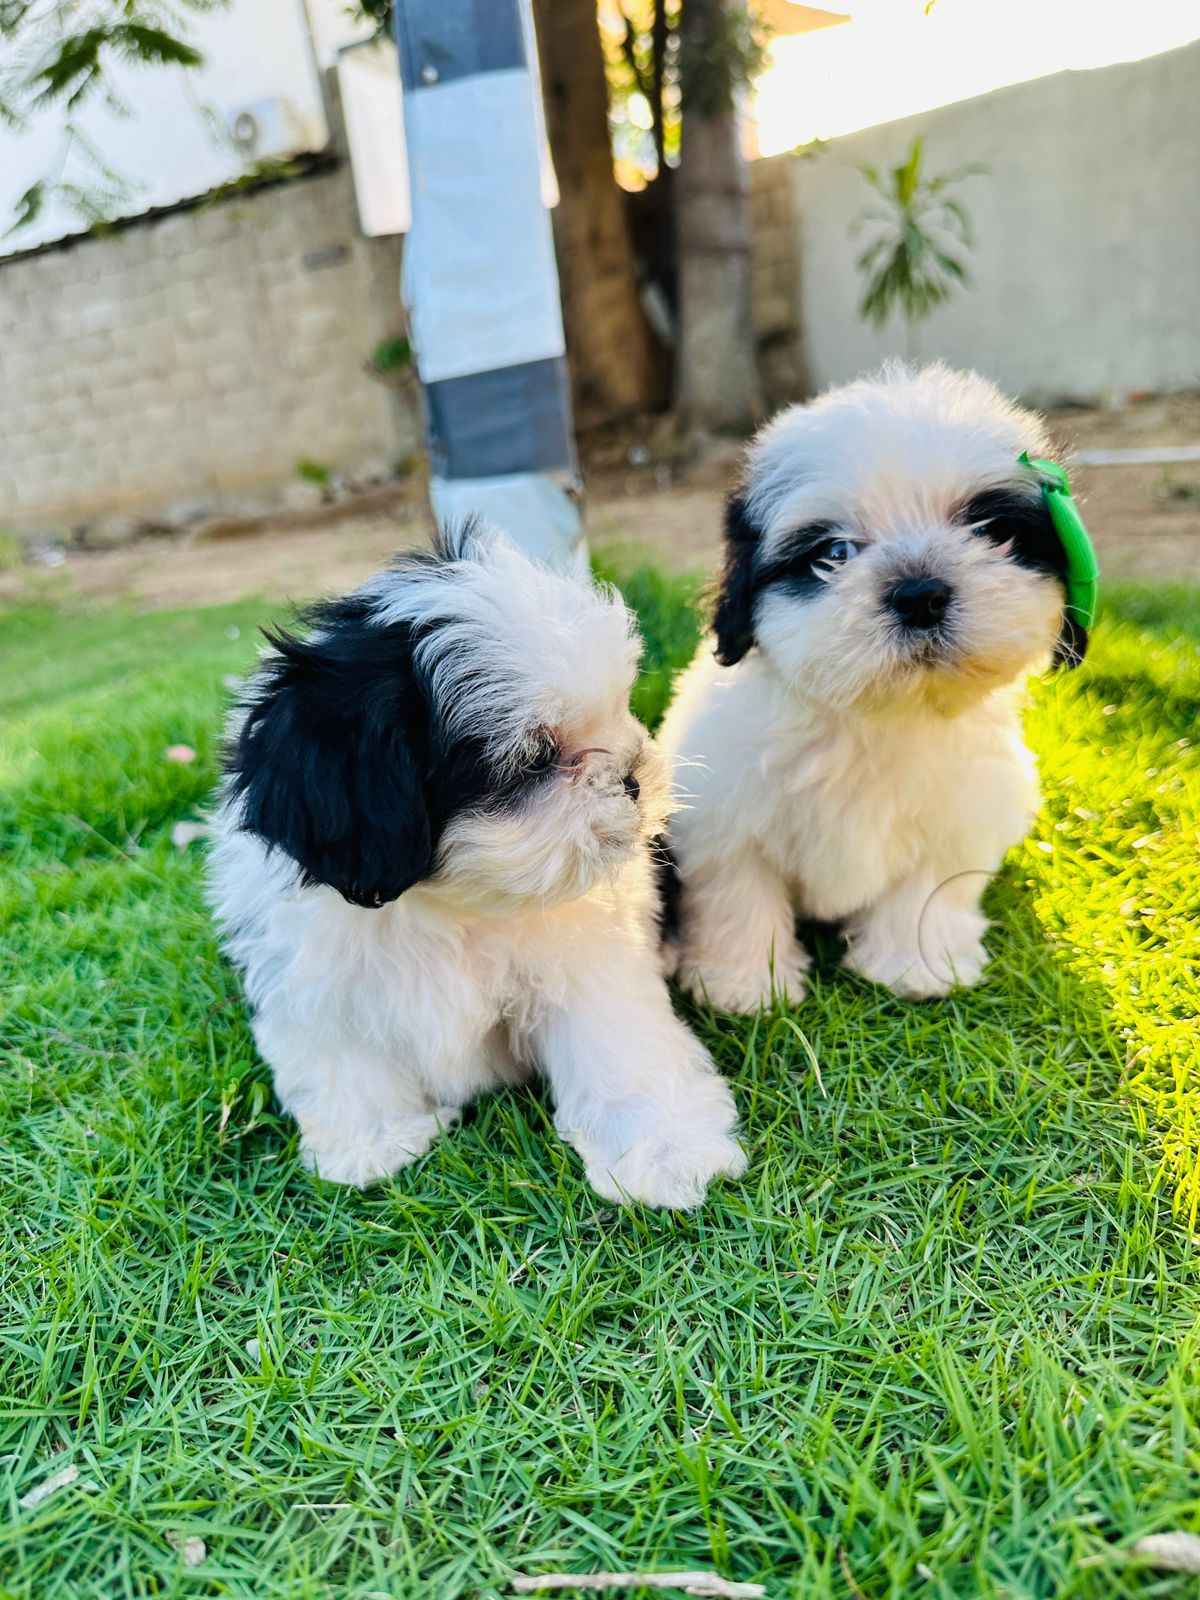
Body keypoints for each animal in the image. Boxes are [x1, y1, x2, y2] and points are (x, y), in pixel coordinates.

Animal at [211, 518, 748, 1203]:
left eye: (621, 710)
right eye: (534, 761)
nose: (631, 777)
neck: (448, 902)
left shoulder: (589, 968)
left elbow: (619, 1045)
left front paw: (668, 1150)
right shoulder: (309, 980)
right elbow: (342, 1062)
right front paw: (372, 1143)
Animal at [659, 366, 1088, 1004]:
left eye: (990, 531)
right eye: (834, 553)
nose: (920, 593)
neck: (878, 717)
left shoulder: (959, 821)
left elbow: (926, 892)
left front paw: (914, 967)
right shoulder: (723, 817)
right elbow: (740, 893)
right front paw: (744, 984)